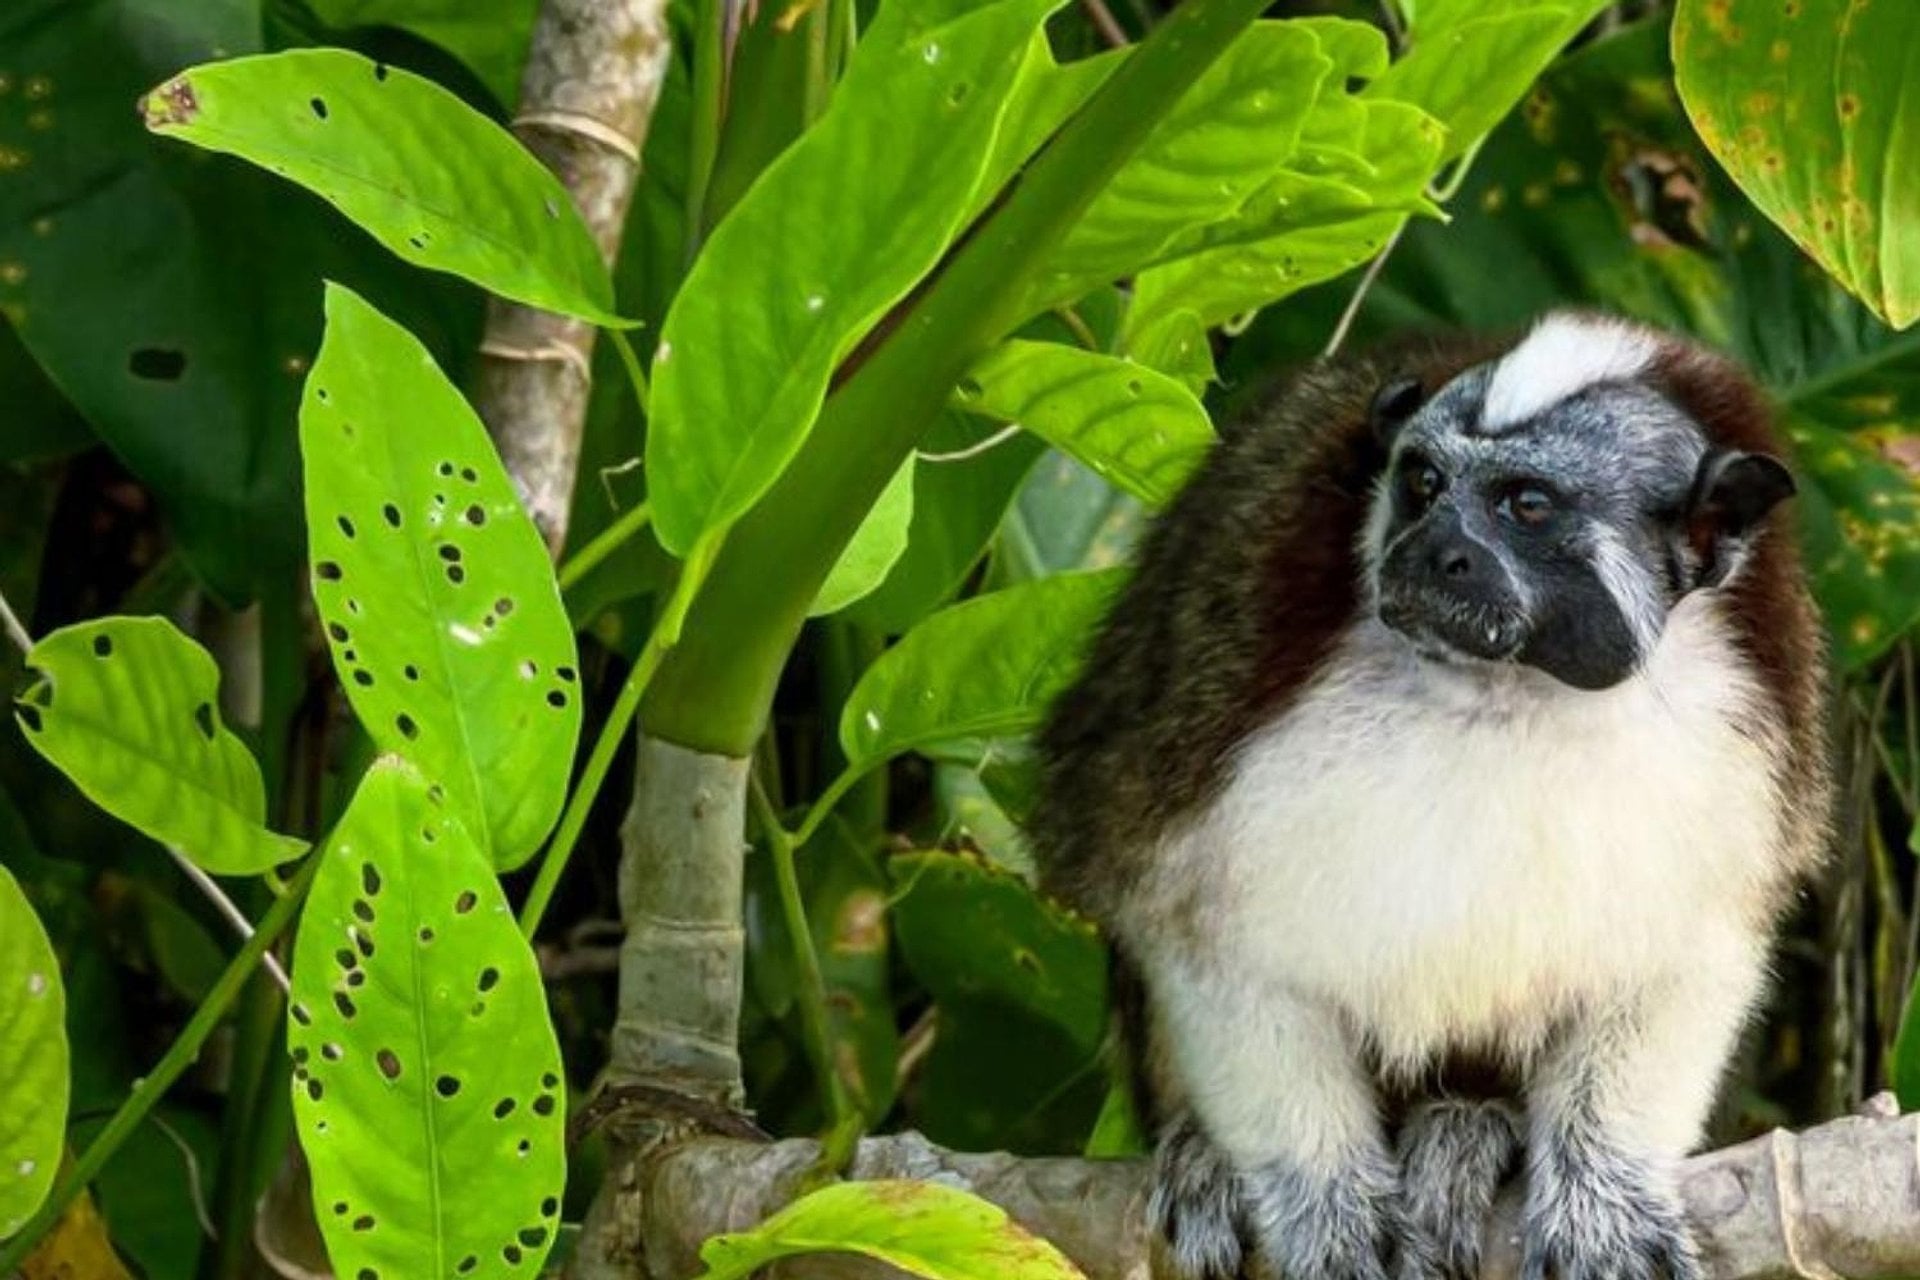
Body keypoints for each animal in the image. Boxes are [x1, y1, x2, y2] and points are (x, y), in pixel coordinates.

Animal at [1028, 312, 1832, 1280]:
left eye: (1527, 506)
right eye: (1422, 484)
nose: (1427, 551)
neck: (1510, 688)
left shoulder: (1752, 739)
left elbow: (1686, 961)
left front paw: (1603, 1196)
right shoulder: (1222, 683)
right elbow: (1203, 934)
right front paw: (1325, 1201)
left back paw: (1467, 1125)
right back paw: (1209, 1153)